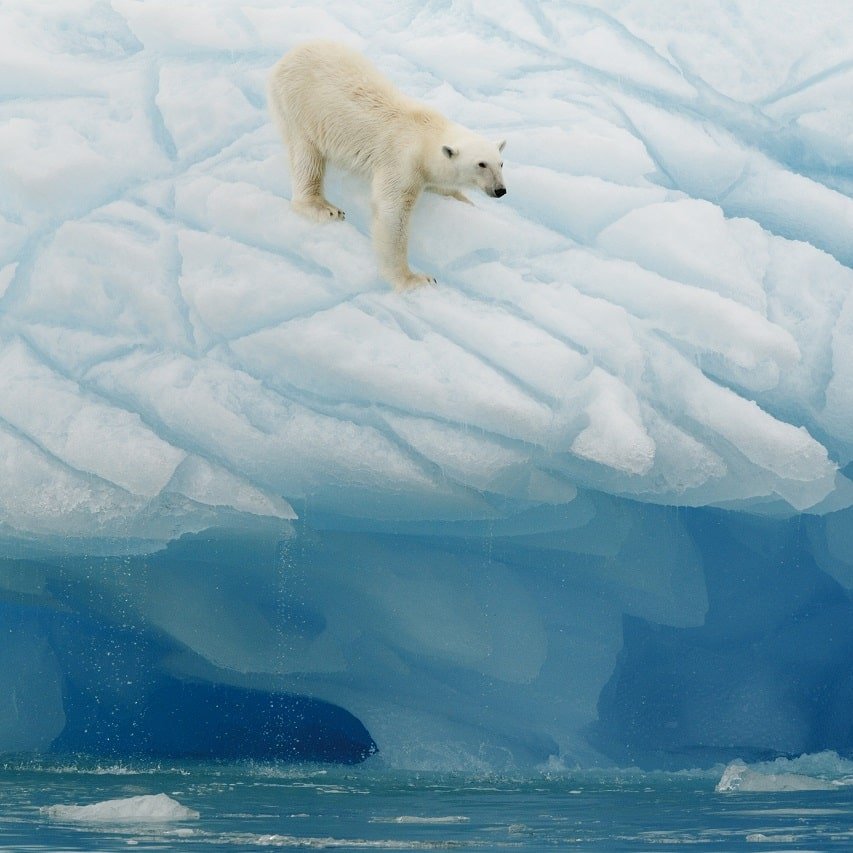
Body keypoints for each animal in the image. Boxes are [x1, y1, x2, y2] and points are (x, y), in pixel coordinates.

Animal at [268, 41, 506, 292]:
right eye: (481, 164)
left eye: (501, 163)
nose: (500, 190)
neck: (426, 133)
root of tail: (285, 59)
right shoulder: (401, 162)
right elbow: (392, 214)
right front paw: (415, 279)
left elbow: (441, 186)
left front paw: (466, 201)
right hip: (299, 106)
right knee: (306, 154)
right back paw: (324, 207)